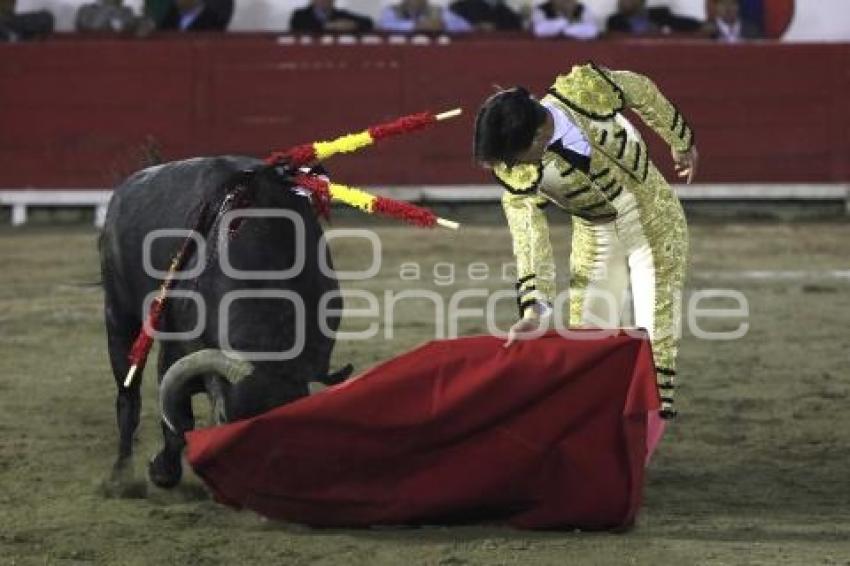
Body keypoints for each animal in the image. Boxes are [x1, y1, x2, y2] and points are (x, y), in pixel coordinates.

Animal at [100, 158, 348, 490]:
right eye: (222, 420)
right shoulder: (177, 348)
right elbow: (179, 419)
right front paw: (162, 471)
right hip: (118, 315)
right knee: (128, 395)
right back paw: (120, 476)